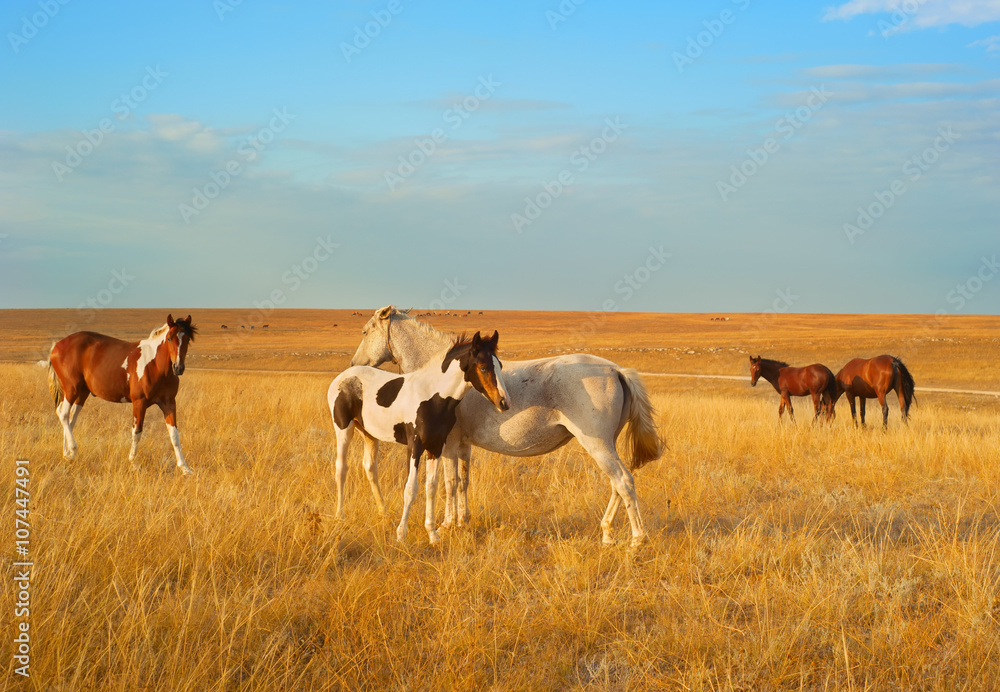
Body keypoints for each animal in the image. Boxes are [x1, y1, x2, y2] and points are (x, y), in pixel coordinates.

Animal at [46, 315, 197, 474]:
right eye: (169, 338)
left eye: (187, 338)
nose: (178, 368)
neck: (156, 366)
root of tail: (57, 346)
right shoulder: (139, 402)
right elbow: (137, 432)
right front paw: (133, 462)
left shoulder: (169, 403)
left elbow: (174, 434)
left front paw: (184, 468)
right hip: (71, 389)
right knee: (63, 414)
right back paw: (72, 450)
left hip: (82, 393)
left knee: (70, 419)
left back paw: (67, 454)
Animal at [328, 331, 510, 544]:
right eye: (483, 367)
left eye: (500, 365)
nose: (504, 402)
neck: (433, 396)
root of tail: (342, 377)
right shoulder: (414, 446)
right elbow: (411, 488)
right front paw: (401, 534)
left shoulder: (436, 446)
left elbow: (431, 486)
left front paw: (432, 534)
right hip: (343, 430)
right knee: (341, 469)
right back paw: (340, 517)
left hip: (369, 434)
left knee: (370, 468)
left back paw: (384, 513)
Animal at [349, 306, 663, 548]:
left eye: (364, 331)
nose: (353, 364)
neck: (439, 379)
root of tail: (617, 370)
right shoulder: (463, 446)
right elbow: (462, 481)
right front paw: (462, 521)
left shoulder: (447, 444)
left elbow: (448, 483)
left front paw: (447, 524)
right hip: (607, 444)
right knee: (617, 484)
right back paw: (608, 532)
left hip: (597, 444)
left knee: (623, 481)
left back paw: (637, 539)